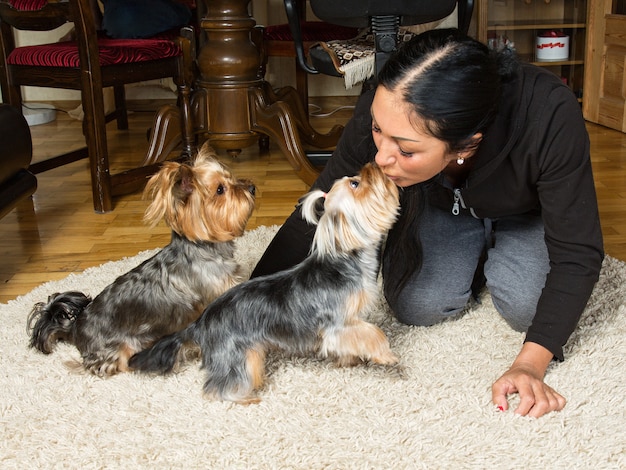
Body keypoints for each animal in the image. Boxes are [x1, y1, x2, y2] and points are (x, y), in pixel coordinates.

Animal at [26, 145, 256, 376]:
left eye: (231, 178)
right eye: (220, 190)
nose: (252, 187)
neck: (202, 249)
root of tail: (74, 328)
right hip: (120, 348)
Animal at [129, 162, 400, 404]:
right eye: (356, 183)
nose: (372, 165)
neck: (345, 259)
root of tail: (201, 322)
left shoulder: (346, 324)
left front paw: (348, 360)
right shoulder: (337, 323)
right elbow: (373, 333)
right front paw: (386, 356)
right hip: (239, 355)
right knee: (218, 386)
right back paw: (245, 399)